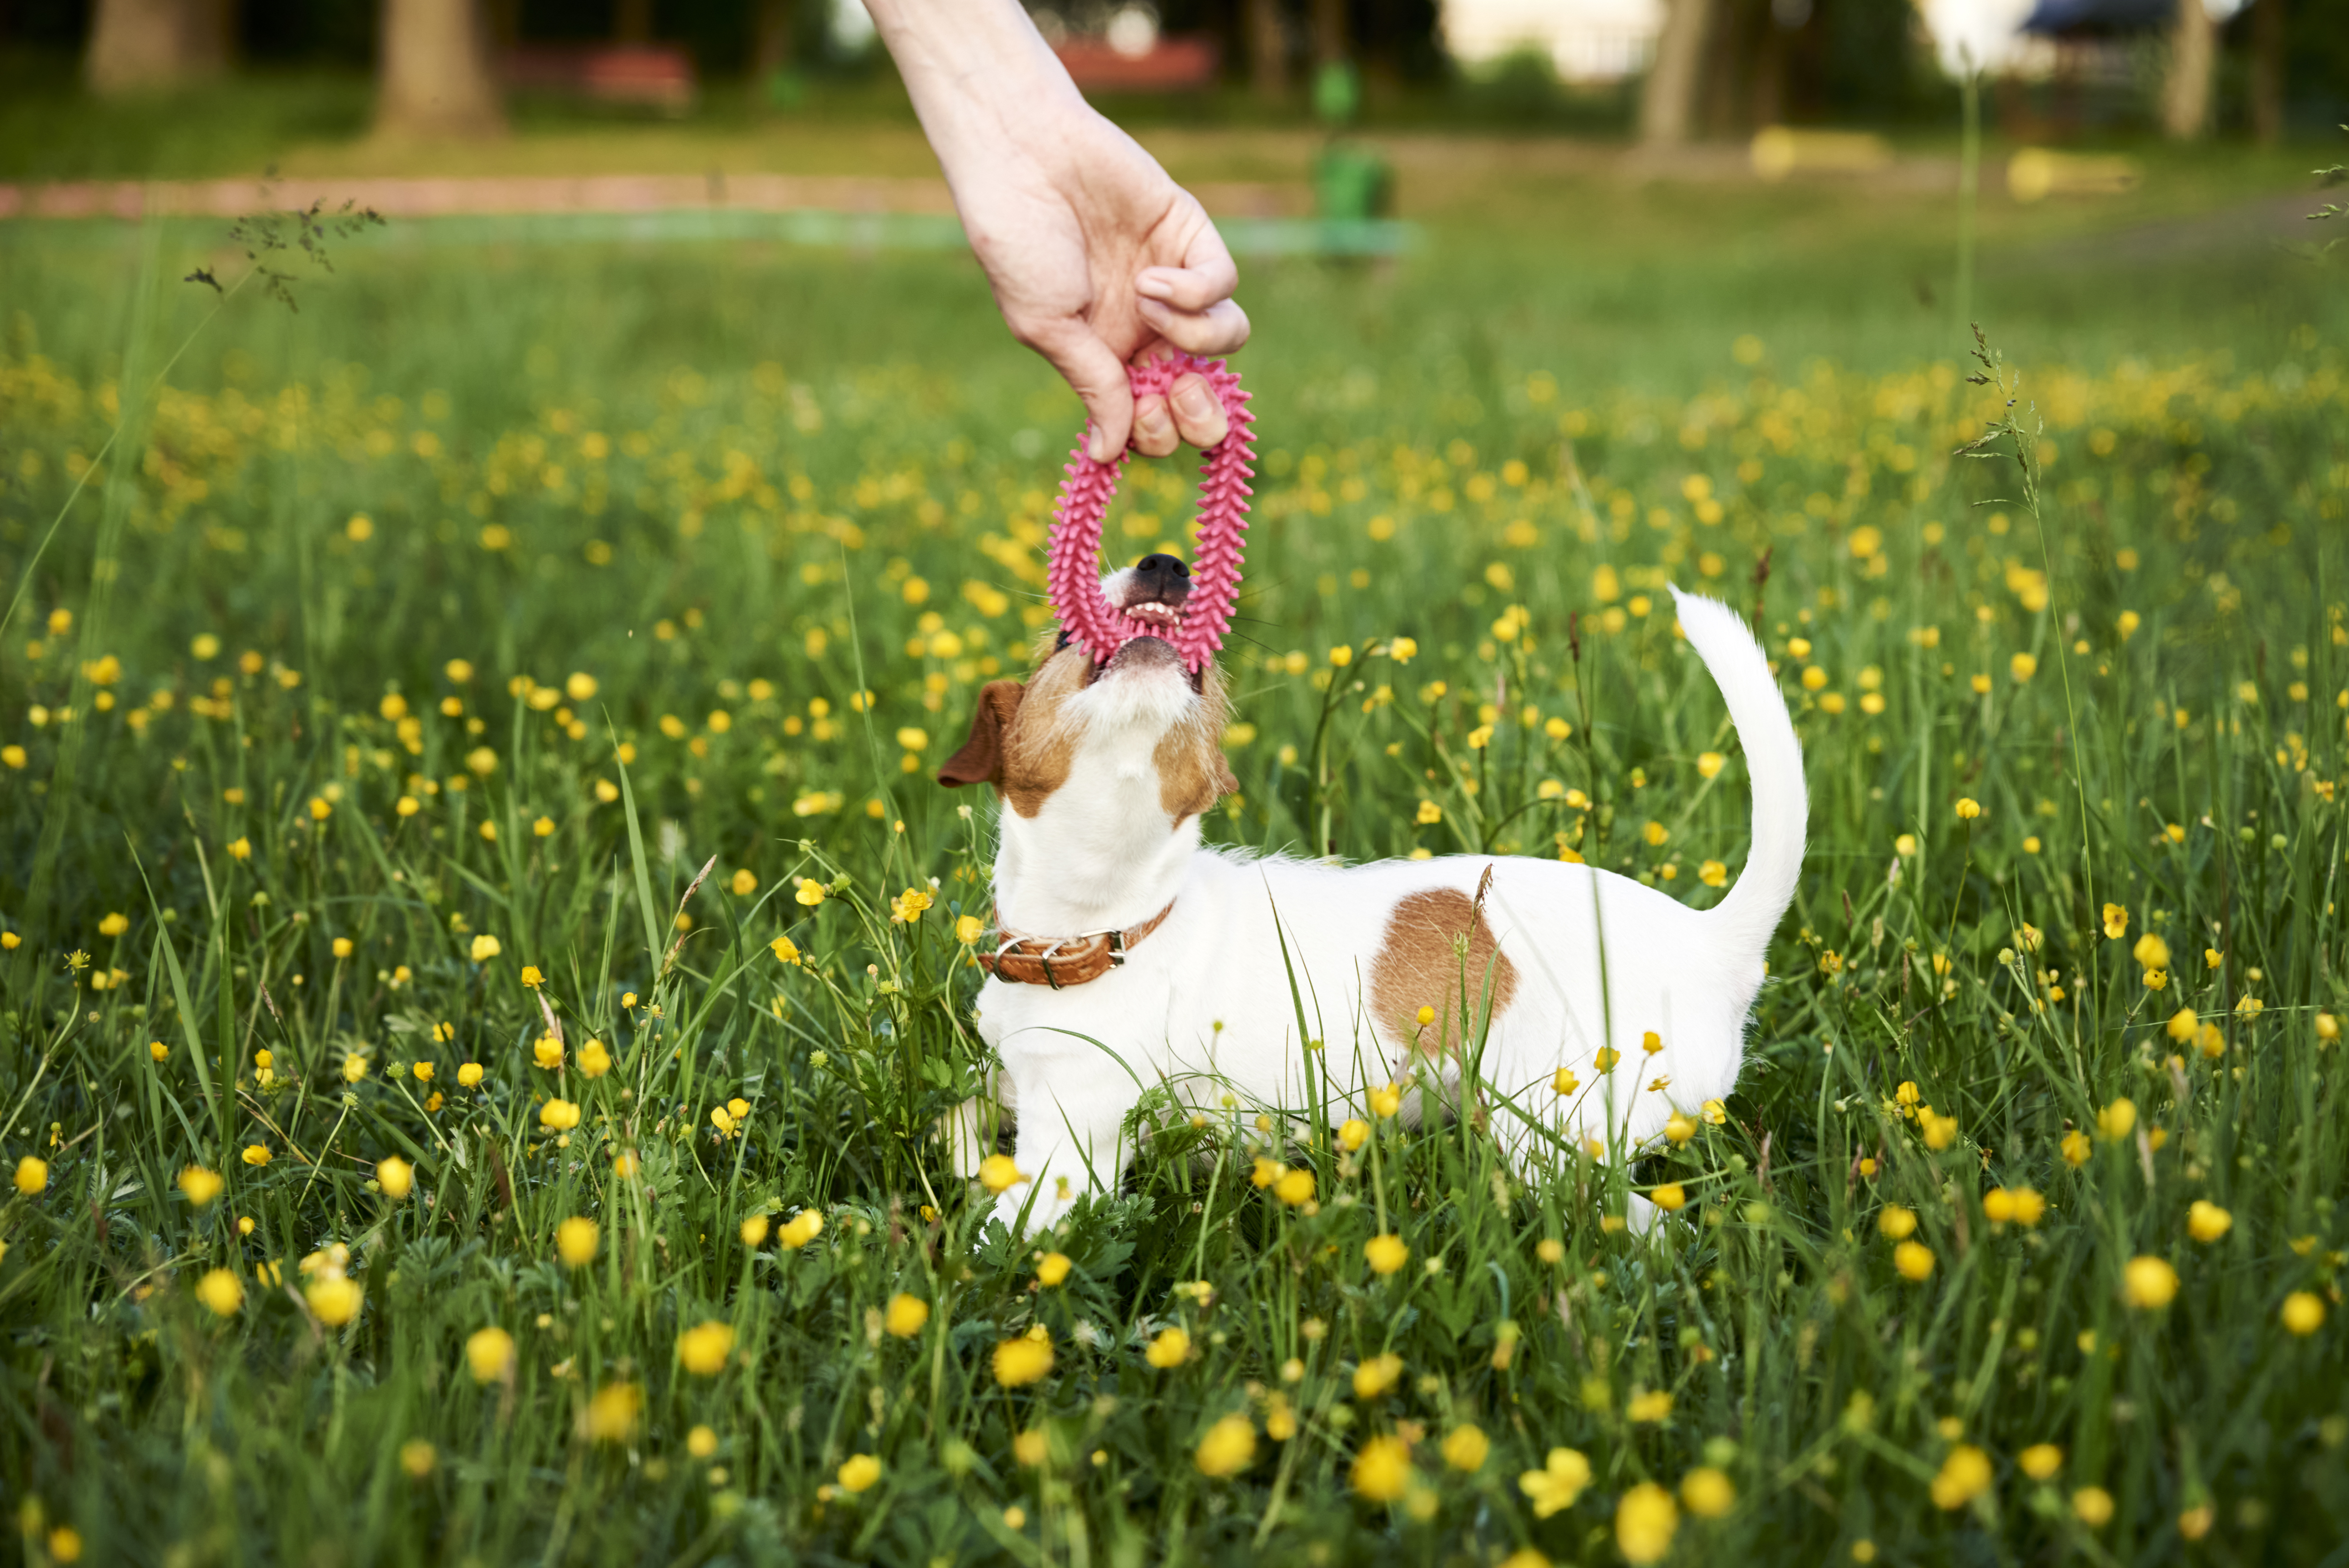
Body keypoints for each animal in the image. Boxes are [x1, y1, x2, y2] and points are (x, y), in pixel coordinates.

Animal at [935, 556, 1795, 1230]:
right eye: (1063, 638)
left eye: (1207, 672)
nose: (1167, 565)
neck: (1106, 920)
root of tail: (1716, 940)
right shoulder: (1013, 1079)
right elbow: (961, 1116)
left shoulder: (1068, 1159)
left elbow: (997, 1238)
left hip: (1552, 1135)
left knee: (1650, 1224)